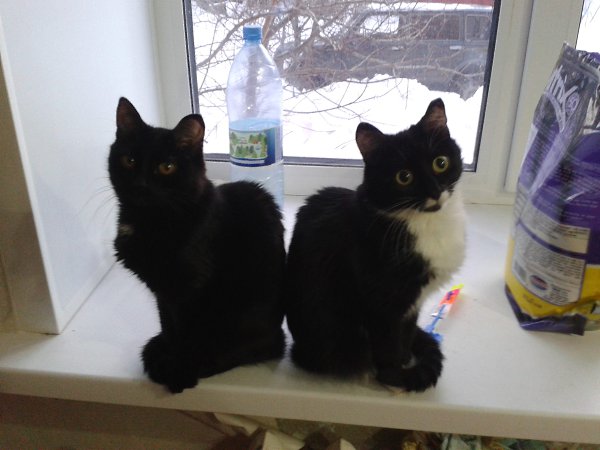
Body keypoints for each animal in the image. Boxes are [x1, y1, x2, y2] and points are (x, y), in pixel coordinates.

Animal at [108, 98, 286, 393]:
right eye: (130, 160)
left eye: (167, 167)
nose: (141, 185)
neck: (152, 222)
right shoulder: (163, 293)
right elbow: (169, 327)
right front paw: (169, 354)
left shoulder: (191, 292)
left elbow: (186, 334)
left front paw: (181, 370)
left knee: (262, 347)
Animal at [284, 98, 466, 392]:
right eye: (404, 177)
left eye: (440, 163)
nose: (435, 191)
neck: (424, 222)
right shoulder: (381, 301)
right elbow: (388, 343)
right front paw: (395, 375)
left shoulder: (412, 304)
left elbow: (405, 333)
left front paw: (404, 361)